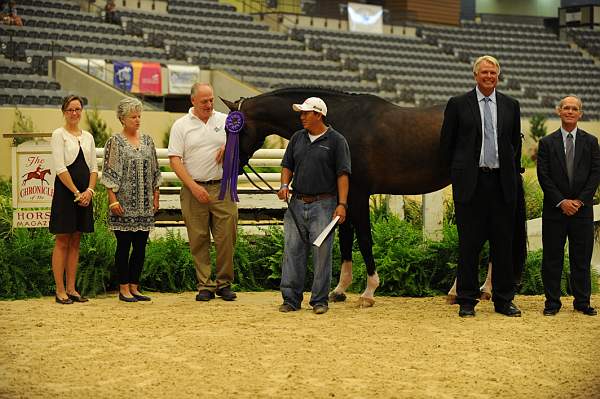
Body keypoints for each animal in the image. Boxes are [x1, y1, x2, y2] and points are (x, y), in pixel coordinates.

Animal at [221, 87, 524, 306]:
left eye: (235, 127)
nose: (227, 164)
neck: (343, 122)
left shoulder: (358, 194)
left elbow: (364, 239)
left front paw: (368, 291)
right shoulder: (342, 195)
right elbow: (344, 239)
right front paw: (339, 290)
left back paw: (470, 290)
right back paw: (475, 290)